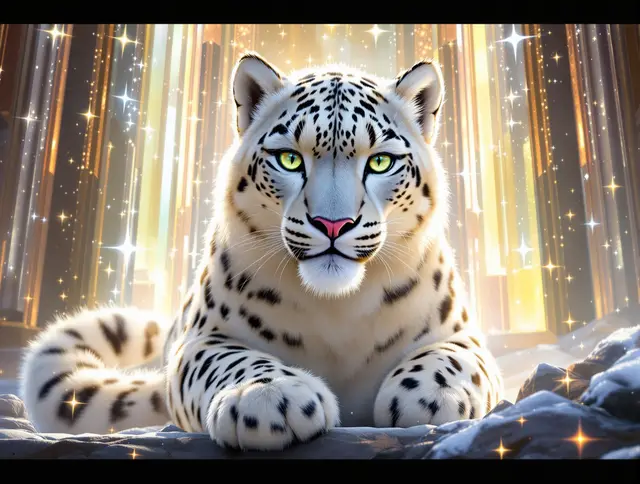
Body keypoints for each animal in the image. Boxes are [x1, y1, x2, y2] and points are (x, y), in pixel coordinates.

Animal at [19, 52, 504, 451]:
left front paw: (430, 395)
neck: (338, 310)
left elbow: (454, 358)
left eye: (380, 162)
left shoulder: (462, 332)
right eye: (289, 159)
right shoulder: (201, 337)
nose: (333, 224)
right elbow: (226, 359)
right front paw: (270, 398)